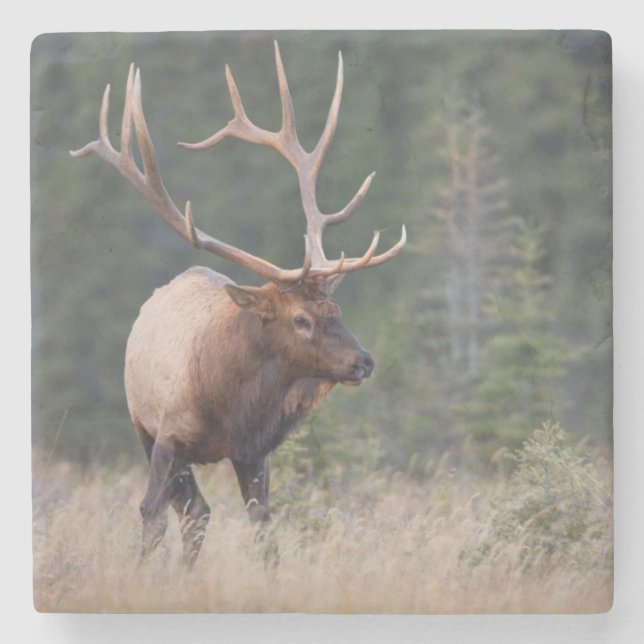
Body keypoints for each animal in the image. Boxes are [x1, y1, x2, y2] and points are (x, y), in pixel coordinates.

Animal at [70, 42, 406, 567]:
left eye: (338, 312)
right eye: (301, 318)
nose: (364, 361)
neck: (230, 404)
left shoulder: (254, 451)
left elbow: (264, 529)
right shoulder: (167, 435)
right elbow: (150, 515)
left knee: (199, 512)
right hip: (142, 426)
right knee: (188, 511)